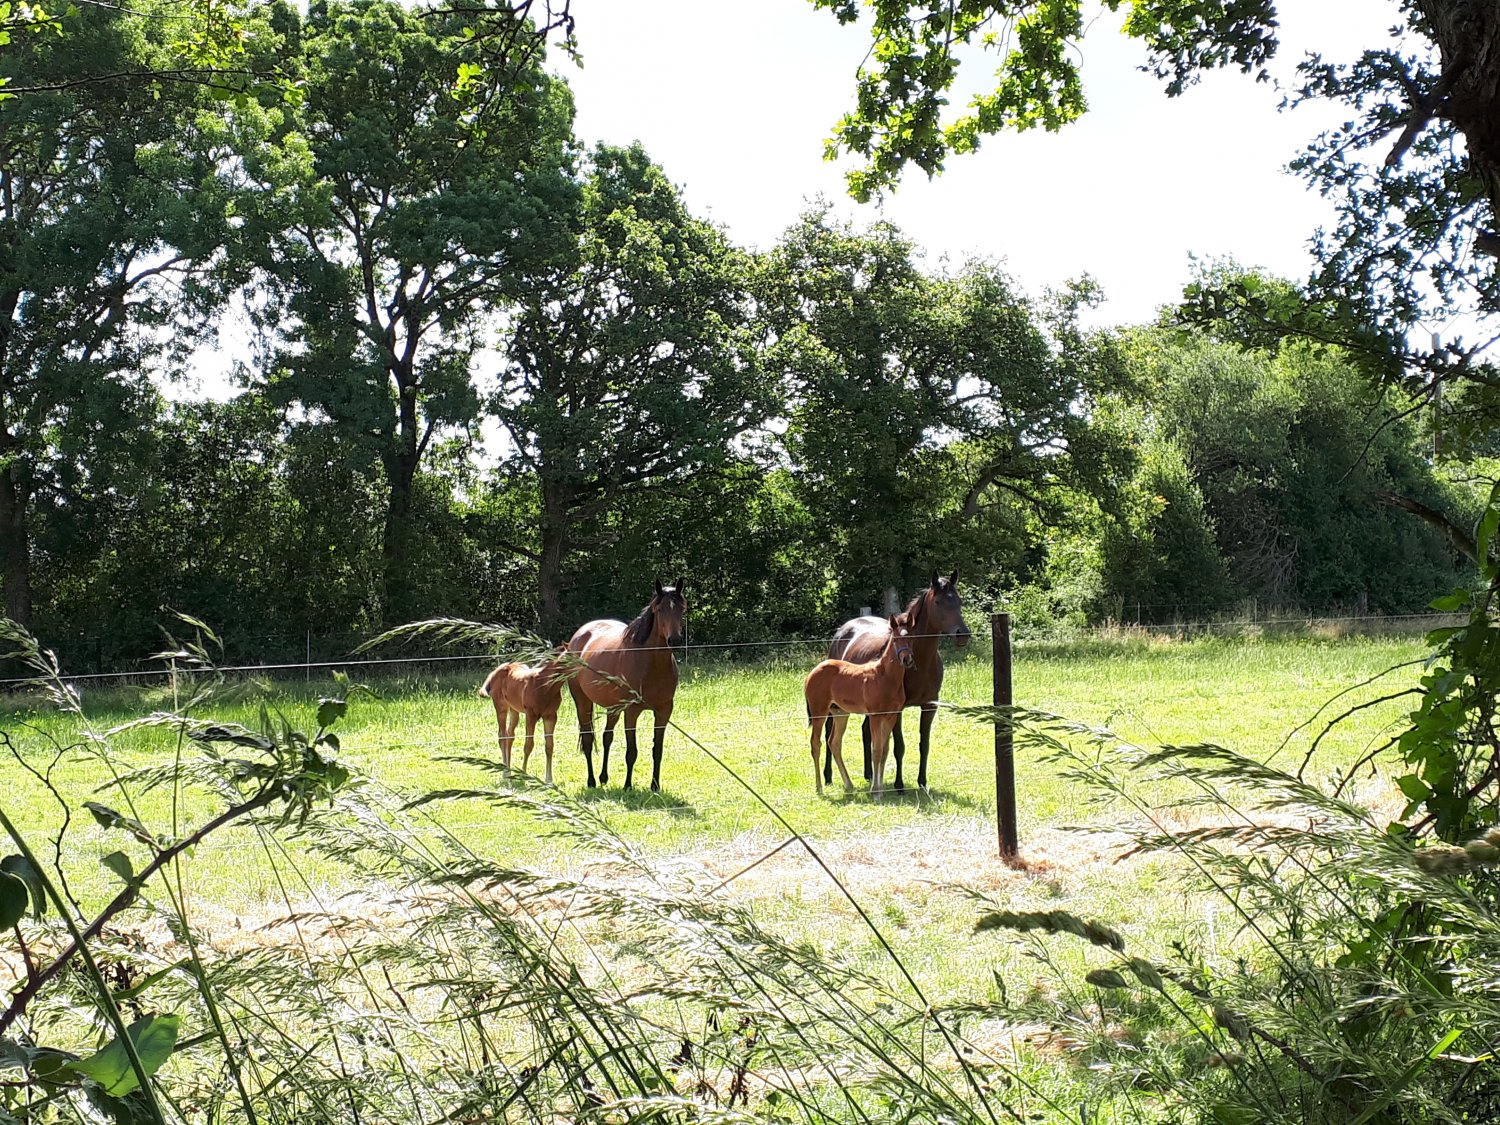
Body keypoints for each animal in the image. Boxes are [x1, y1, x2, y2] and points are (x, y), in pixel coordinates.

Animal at [478, 649, 567, 783]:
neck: (545, 684)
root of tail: (494, 672)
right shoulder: (531, 716)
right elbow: (528, 745)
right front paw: (524, 774)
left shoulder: (551, 716)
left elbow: (549, 746)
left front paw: (549, 780)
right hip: (501, 707)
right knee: (502, 736)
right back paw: (506, 774)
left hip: (514, 710)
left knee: (510, 735)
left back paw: (509, 770)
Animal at [565, 578, 686, 792]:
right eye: (660, 609)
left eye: (682, 608)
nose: (675, 640)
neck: (651, 664)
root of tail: (580, 635)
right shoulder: (632, 711)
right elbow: (632, 751)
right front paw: (628, 786)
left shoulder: (664, 711)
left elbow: (657, 750)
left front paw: (655, 786)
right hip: (582, 701)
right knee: (588, 740)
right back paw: (591, 781)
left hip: (613, 708)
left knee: (607, 737)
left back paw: (603, 777)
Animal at [805, 613, 915, 798]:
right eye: (895, 639)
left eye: (912, 638)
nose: (907, 659)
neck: (884, 677)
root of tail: (811, 673)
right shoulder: (875, 716)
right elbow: (876, 751)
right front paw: (875, 792)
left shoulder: (891, 715)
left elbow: (884, 751)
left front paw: (879, 789)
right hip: (819, 712)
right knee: (816, 744)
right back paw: (819, 788)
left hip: (840, 713)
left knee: (834, 742)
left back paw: (849, 785)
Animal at [824, 570, 971, 791]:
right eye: (938, 602)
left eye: (959, 600)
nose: (963, 634)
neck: (920, 662)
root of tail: (844, 629)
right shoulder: (898, 709)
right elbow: (899, 746)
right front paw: (899, 784)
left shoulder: (929, 706)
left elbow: (924, 745)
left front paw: (922, 782)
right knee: (827, 732)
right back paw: (828, 776)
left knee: (865, 731)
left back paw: (869, 774)